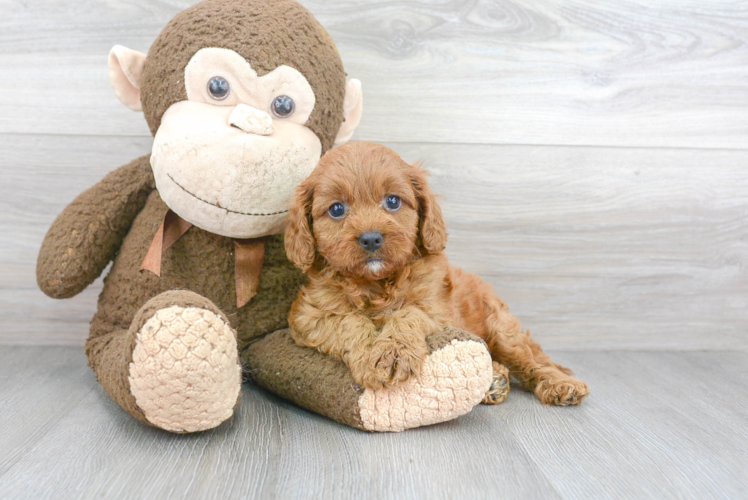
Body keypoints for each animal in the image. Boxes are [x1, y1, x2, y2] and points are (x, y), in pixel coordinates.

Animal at [284, 142, 588, 406]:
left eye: (392, 201)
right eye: (337, 209)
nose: (371, 238)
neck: (376, 283)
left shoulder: (436, 309)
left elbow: (408, 314)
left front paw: (392, 354)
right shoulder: (310, 316)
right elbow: (348, 321)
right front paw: (372, 352)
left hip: (502, 328)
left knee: (532, 360)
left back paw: (560, 384)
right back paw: (495, 379)